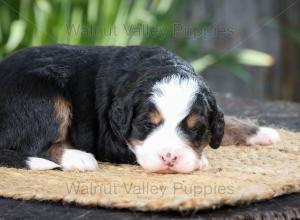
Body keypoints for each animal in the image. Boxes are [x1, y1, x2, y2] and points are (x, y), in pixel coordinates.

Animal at [0, 45, 280, 172]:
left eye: (196, 129)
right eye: (147, 125)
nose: (170, 158)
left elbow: (227, 120)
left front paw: (263, 133)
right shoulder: (110, 138)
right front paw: (200, 161)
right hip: (47, 97)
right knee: (35, 146)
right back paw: (79, 157)